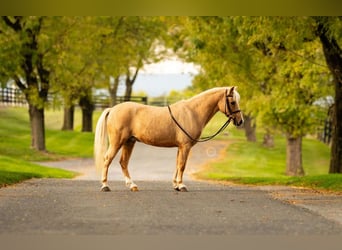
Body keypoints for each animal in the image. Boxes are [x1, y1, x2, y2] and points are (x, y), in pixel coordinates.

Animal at [93, 86, 243, 191]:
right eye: (232, 102)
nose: (240, 121)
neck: (192, 112)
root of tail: (112, 109)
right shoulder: (185, 146)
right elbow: (182, 165)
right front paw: (181, 186)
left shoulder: (180, 147)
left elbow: (177, 165)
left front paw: (176, 185)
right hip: (117, 142)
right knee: (107, 159)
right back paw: (105, 186)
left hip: (129, 142)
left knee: (123, 162)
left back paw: (132, 185)